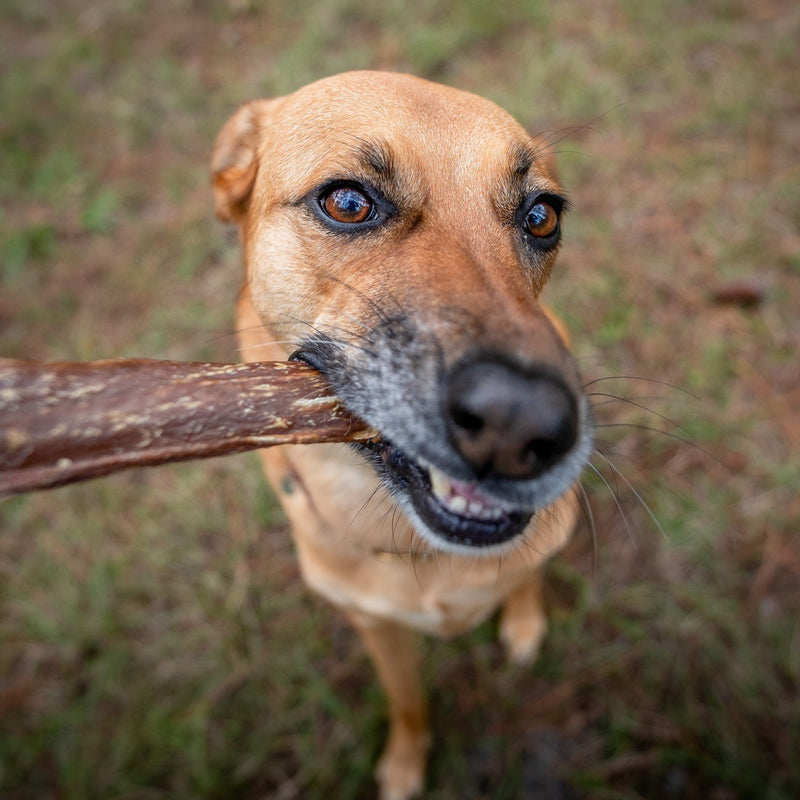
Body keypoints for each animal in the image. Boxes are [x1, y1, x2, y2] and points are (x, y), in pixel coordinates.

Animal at [212, 72, 592, 796]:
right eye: (348, 202)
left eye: (542, 217)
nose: (521, 422)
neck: (417, 551)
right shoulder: (375, 627)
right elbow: (407, 700)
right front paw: (406, 762)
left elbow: (526, 577)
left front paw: (523, 619)